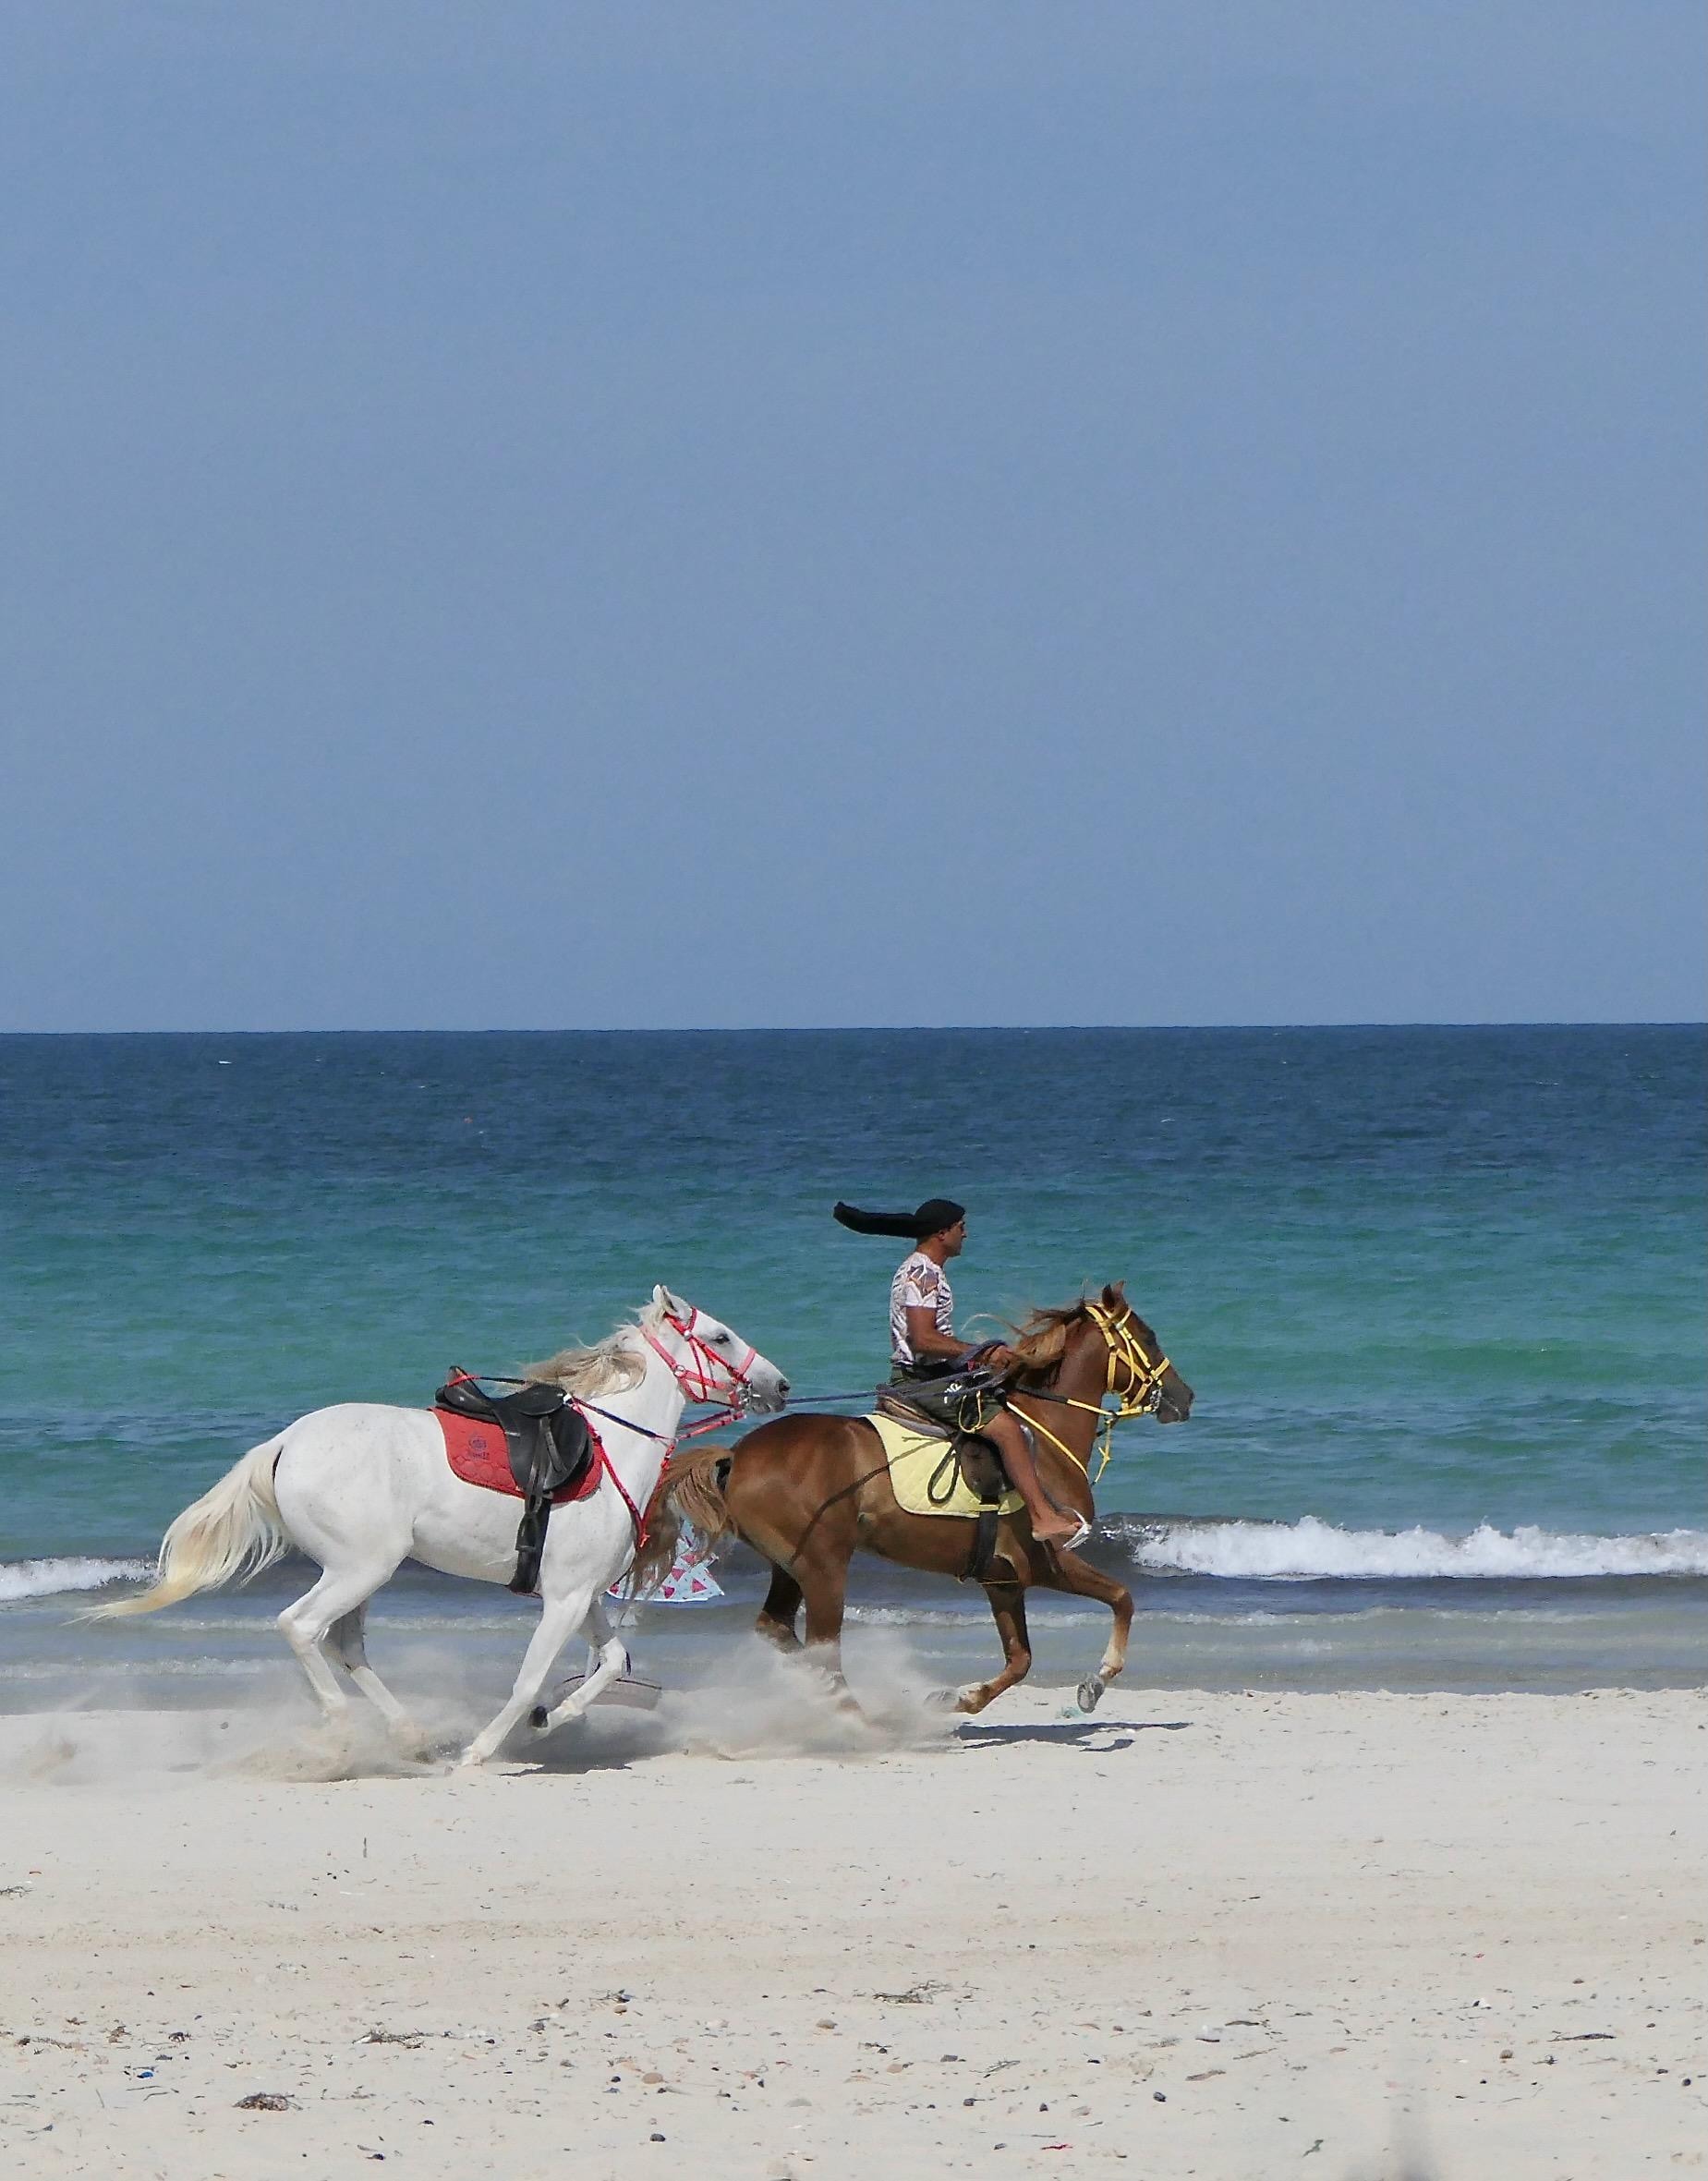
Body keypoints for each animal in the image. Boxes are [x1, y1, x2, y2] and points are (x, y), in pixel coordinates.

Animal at [90, 1288, 788, 1766]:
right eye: (722, 1336)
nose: (779, 1384)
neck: (608, 1443)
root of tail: (285, 1442)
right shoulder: (562, 1600)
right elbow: (529, 1678)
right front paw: (481, 1751)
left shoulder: (580, 1595)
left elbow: (612, 1661)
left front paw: (551, 1719)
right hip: (360, 1568)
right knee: (302, 1627)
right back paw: (346, 1729)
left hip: (361, 1574)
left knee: (346, 1646)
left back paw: (410, 1735)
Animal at [642, 1285, 1190, 1717]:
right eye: (1148, 1337)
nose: (1185, 1398)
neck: (1045, 1436)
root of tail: (738, 1454)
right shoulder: (1047, 1561)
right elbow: (1122, 1597)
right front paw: (1096, 1682)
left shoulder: (1002, 1578)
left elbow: (1020, 1659)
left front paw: (960, 1699)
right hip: (824, 1566)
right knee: (821, 1649)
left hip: (790, 1566)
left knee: (776, 1629)